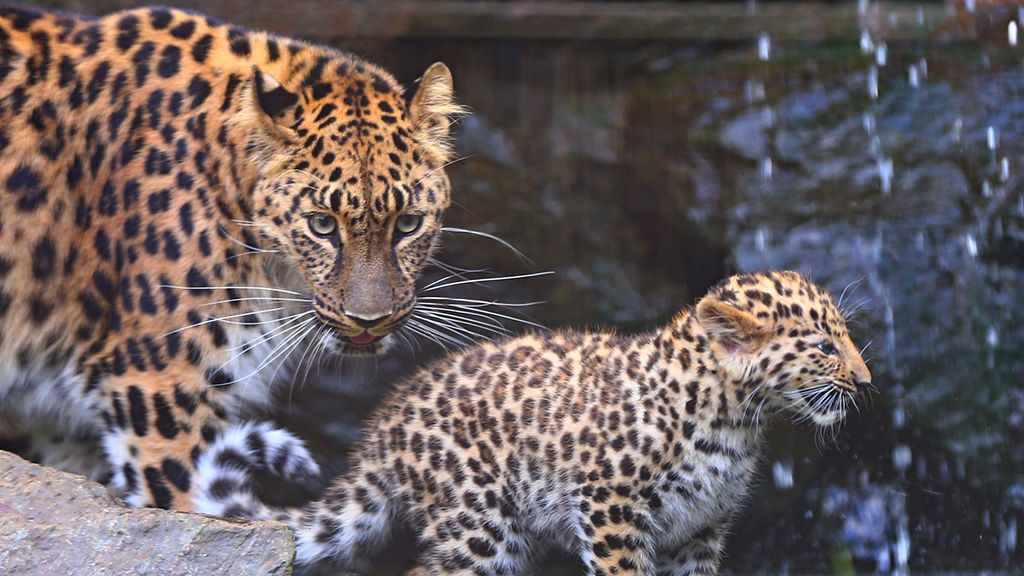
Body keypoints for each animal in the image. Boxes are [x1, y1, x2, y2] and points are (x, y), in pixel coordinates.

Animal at [195, 270, 872, 576]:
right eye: (824, 346)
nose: (866, 382)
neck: (735, 422)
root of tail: (388, 422)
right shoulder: (611, 508)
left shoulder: (700, 531)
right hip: (480, 529)